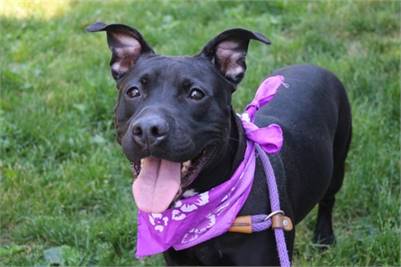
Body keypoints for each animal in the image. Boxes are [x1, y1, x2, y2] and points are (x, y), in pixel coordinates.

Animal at [87, 22, 350, 266]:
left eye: (196, 94)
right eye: (133, 92)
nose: (149, 130)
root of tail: (314, 67)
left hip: (337, 163)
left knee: (328, 199)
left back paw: (324, 237)